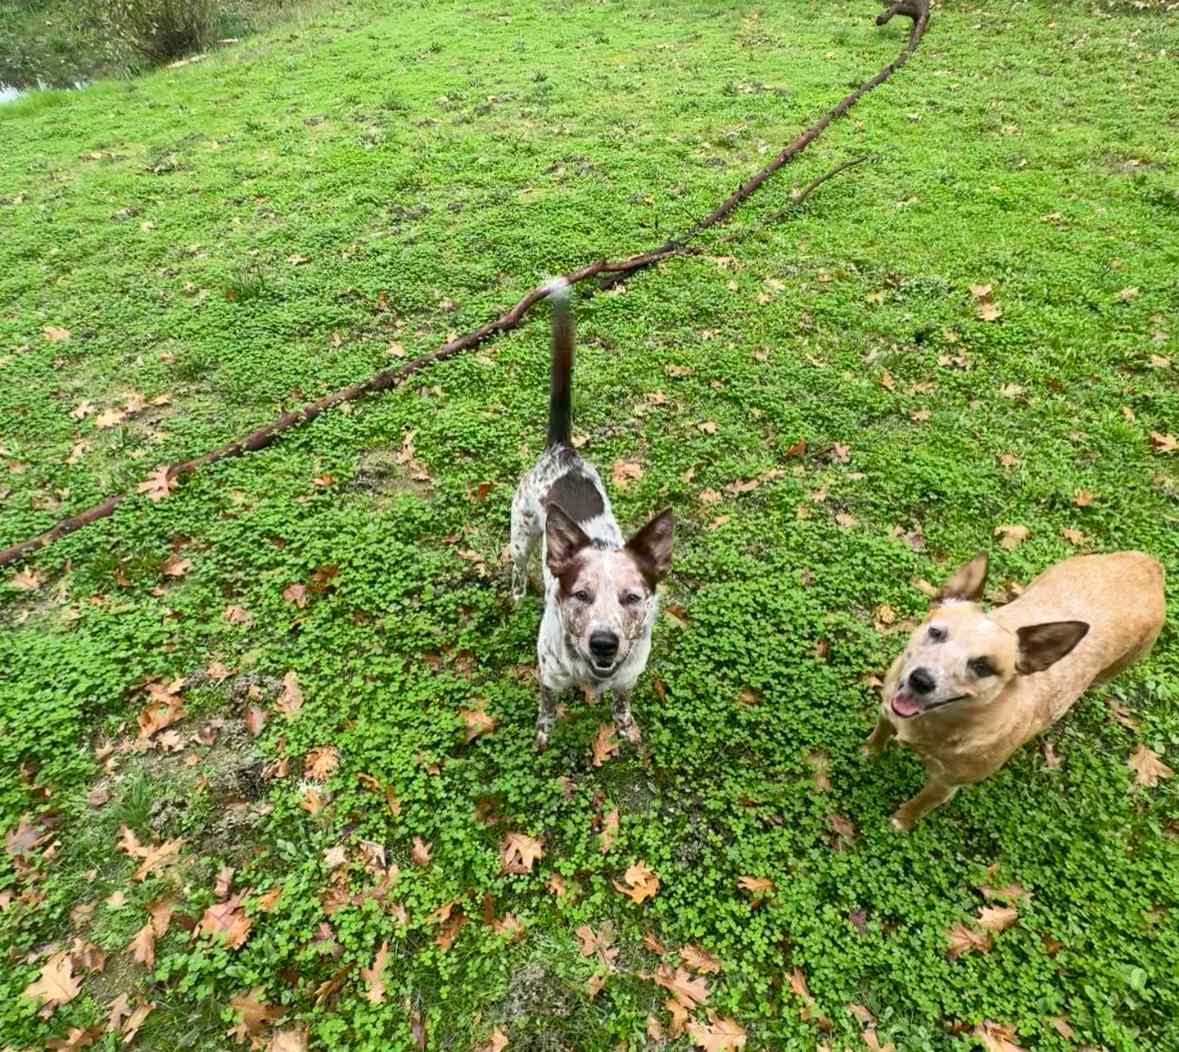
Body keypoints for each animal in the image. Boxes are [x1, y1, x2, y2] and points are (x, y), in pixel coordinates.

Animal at [506, 281, 674, 750]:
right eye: (580, 594)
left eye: (632, 598)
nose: (604, 643)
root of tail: (563, 450)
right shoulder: (548, 675)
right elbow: (547, 709)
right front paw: (544, 732)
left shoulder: (628, 677)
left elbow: (622, 703)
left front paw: (625, 727)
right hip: (521, 535)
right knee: (517, 567)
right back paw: (515, 595)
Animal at [863, 549, 1164, 830]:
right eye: (936, 632)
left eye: (982, 666)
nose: (921, 680)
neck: (933, 724)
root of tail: (1148, 563)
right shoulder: (887, 709)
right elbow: (881, 732)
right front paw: (869, 751)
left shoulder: (944, 785)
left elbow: (919, 804)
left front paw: (901, 821)